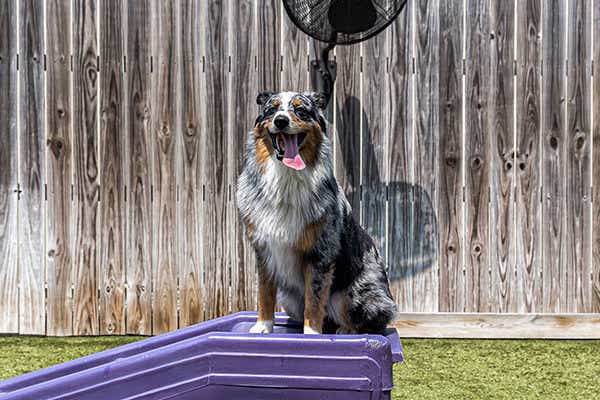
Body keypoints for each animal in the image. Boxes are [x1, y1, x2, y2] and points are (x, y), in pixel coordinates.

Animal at [237, 90, 396, 334]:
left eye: (301, 110)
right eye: (271, 110)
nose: (281, 121)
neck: (285, 178)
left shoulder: (319, 253)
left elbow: (314, 299)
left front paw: (311, 333)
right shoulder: (264, 250)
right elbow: (265, 293)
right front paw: (263, 327)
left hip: (357, 295)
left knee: (363, 322)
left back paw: (344, 331)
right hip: (289, 297)